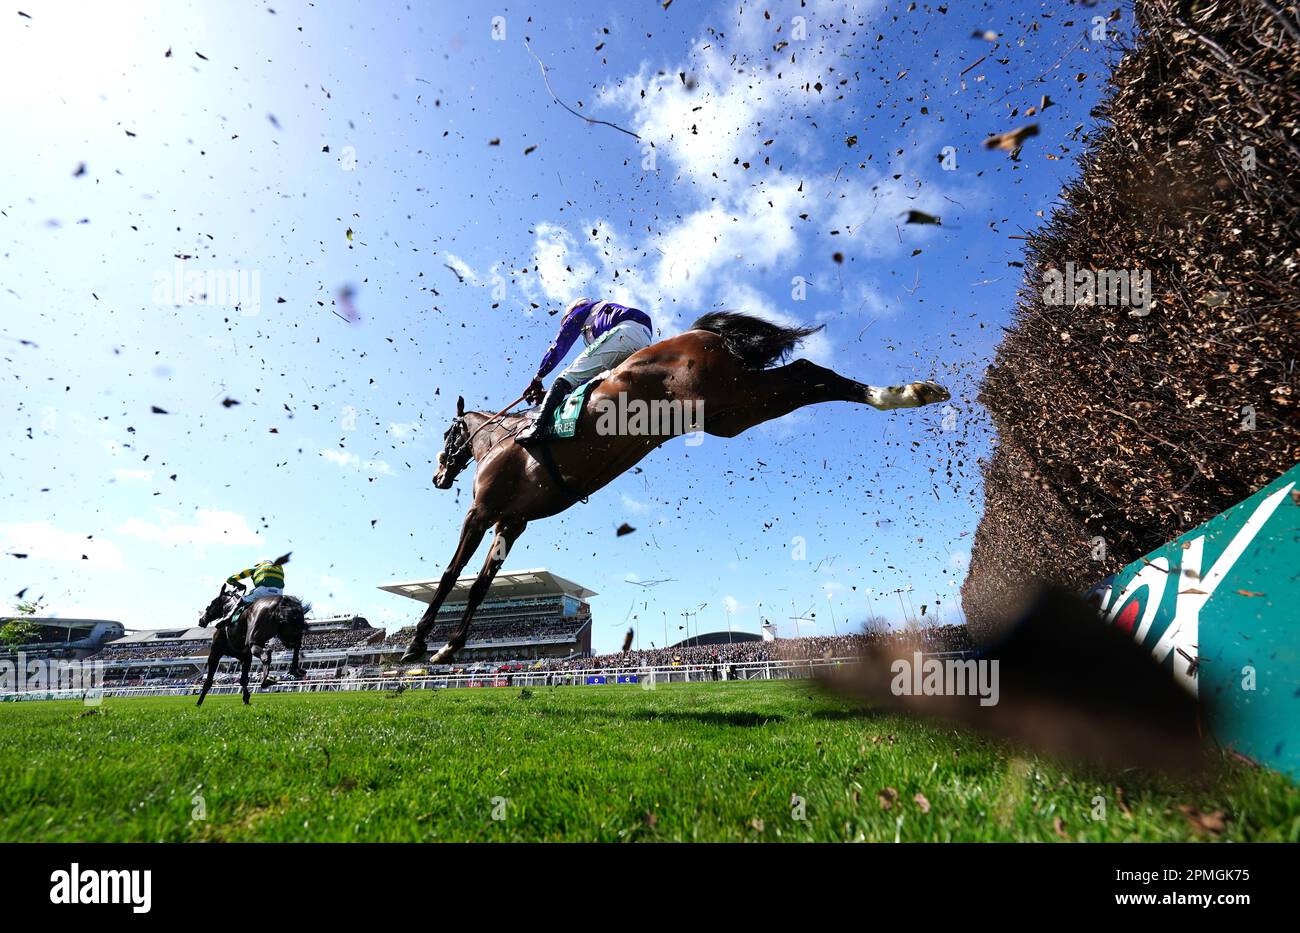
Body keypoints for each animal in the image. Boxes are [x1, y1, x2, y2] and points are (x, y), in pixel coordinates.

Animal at [395, 311, 946, 665]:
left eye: (447, 434)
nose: (438, 476)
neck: (501, 442)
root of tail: (701, 331)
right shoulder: (512, 522)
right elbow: (480, 586)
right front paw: (450, 647)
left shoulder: (483, 512)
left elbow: (450, 576)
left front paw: (418, 644)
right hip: (734, 412)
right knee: (811, 375)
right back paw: (908, 393)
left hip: (729, 396)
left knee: (809, 373)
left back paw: (903, 394)